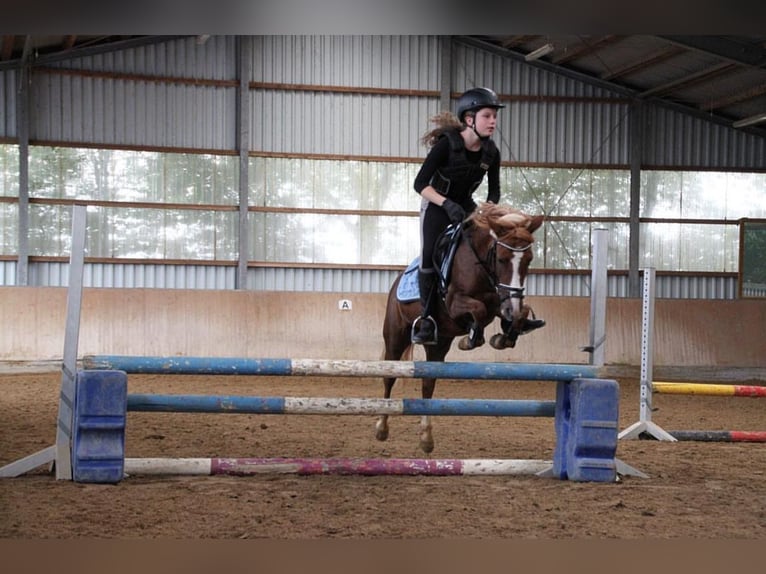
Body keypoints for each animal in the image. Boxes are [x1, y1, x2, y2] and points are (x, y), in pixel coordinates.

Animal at [378, 204, 544, 454]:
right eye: (502, 259)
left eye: (529, 260)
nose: (511, 310)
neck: (482, 267)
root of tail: (397, 282)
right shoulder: (455, 304)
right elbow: (479, 310)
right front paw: (471, 339)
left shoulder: (501, 301)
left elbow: (519, 312)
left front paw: (505, 335)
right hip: (395, 337)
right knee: (389, 377)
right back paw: (381, 427)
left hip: (439, 345)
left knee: (428, 384)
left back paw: (426, 439)